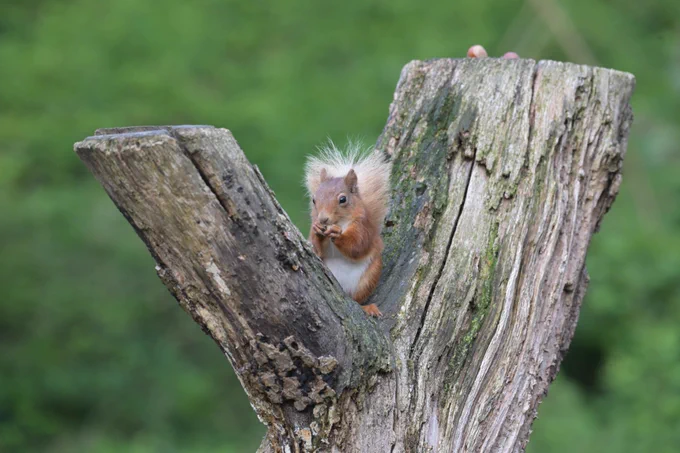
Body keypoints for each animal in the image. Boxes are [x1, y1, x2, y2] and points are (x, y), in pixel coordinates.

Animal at [305, 141, 392, 317]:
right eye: (314, 200)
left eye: (343, 199)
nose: (322, 219)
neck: (340, 222)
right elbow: (317, 250)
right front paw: (318, 230)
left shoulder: (363, 227)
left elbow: (357, 245)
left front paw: (337, 234)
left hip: (368, 277)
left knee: (357, 300)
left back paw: (367, 308)